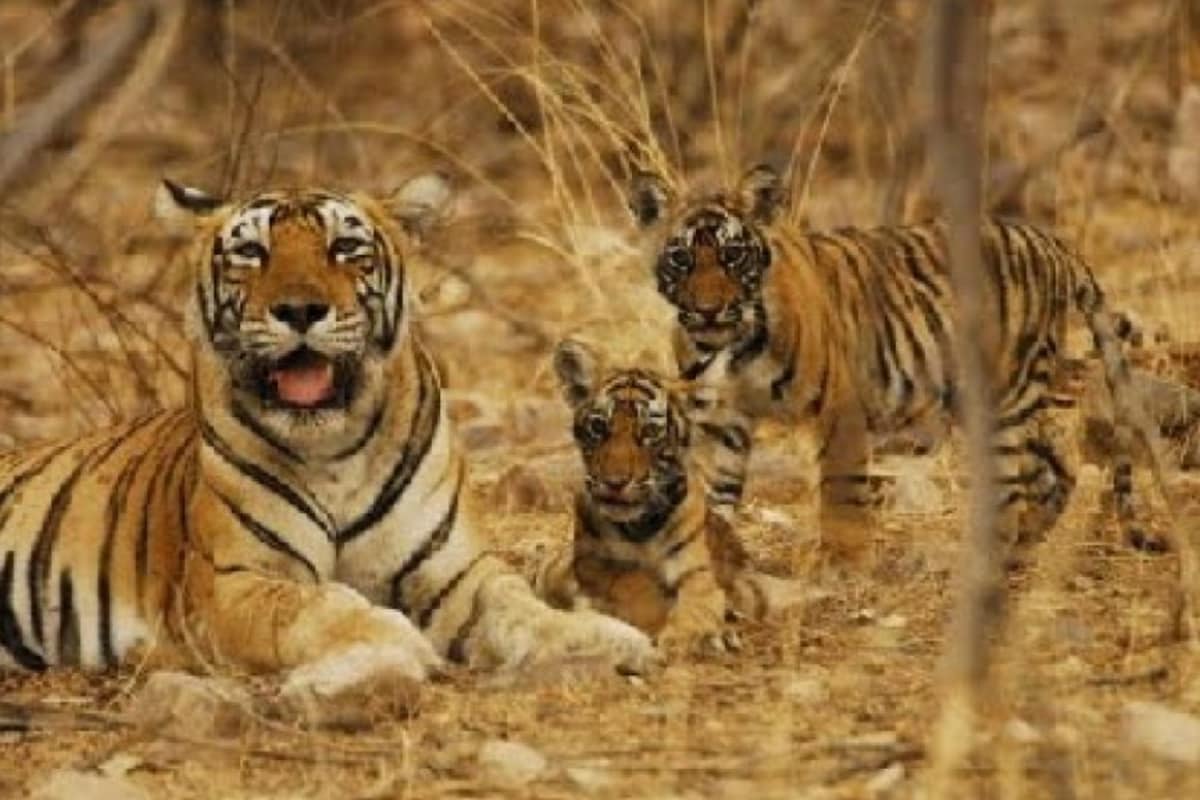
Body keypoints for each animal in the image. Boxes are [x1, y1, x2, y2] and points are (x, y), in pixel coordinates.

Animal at [0, 175, 658, 694]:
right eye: (251, 252)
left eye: (345, 248)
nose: (299, 310)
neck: (336, 448)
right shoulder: (233, 585)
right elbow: (315, 606)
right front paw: (396, 637)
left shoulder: (456, 573)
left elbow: (519, 605)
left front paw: (602, 636)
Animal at [534, 338, 806, 655]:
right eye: (599, 426)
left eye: (650, 431)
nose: (615, 483)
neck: (642, 527)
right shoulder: (595, 564)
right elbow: (634, 586)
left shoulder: (698, 573)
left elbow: (699, 603)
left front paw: (692, 636)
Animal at [626, 164, 1168, 564]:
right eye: (681, 259)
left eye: (732, 256)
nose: (708, 309)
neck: (729, 347)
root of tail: (1052, 242)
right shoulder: (723, 424)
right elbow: (712, 501)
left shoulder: (839, 407)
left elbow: (841, 490)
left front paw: (841, 565)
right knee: (1056, 469)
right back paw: (1025, 548)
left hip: (1006, 396)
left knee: (1020, 483)